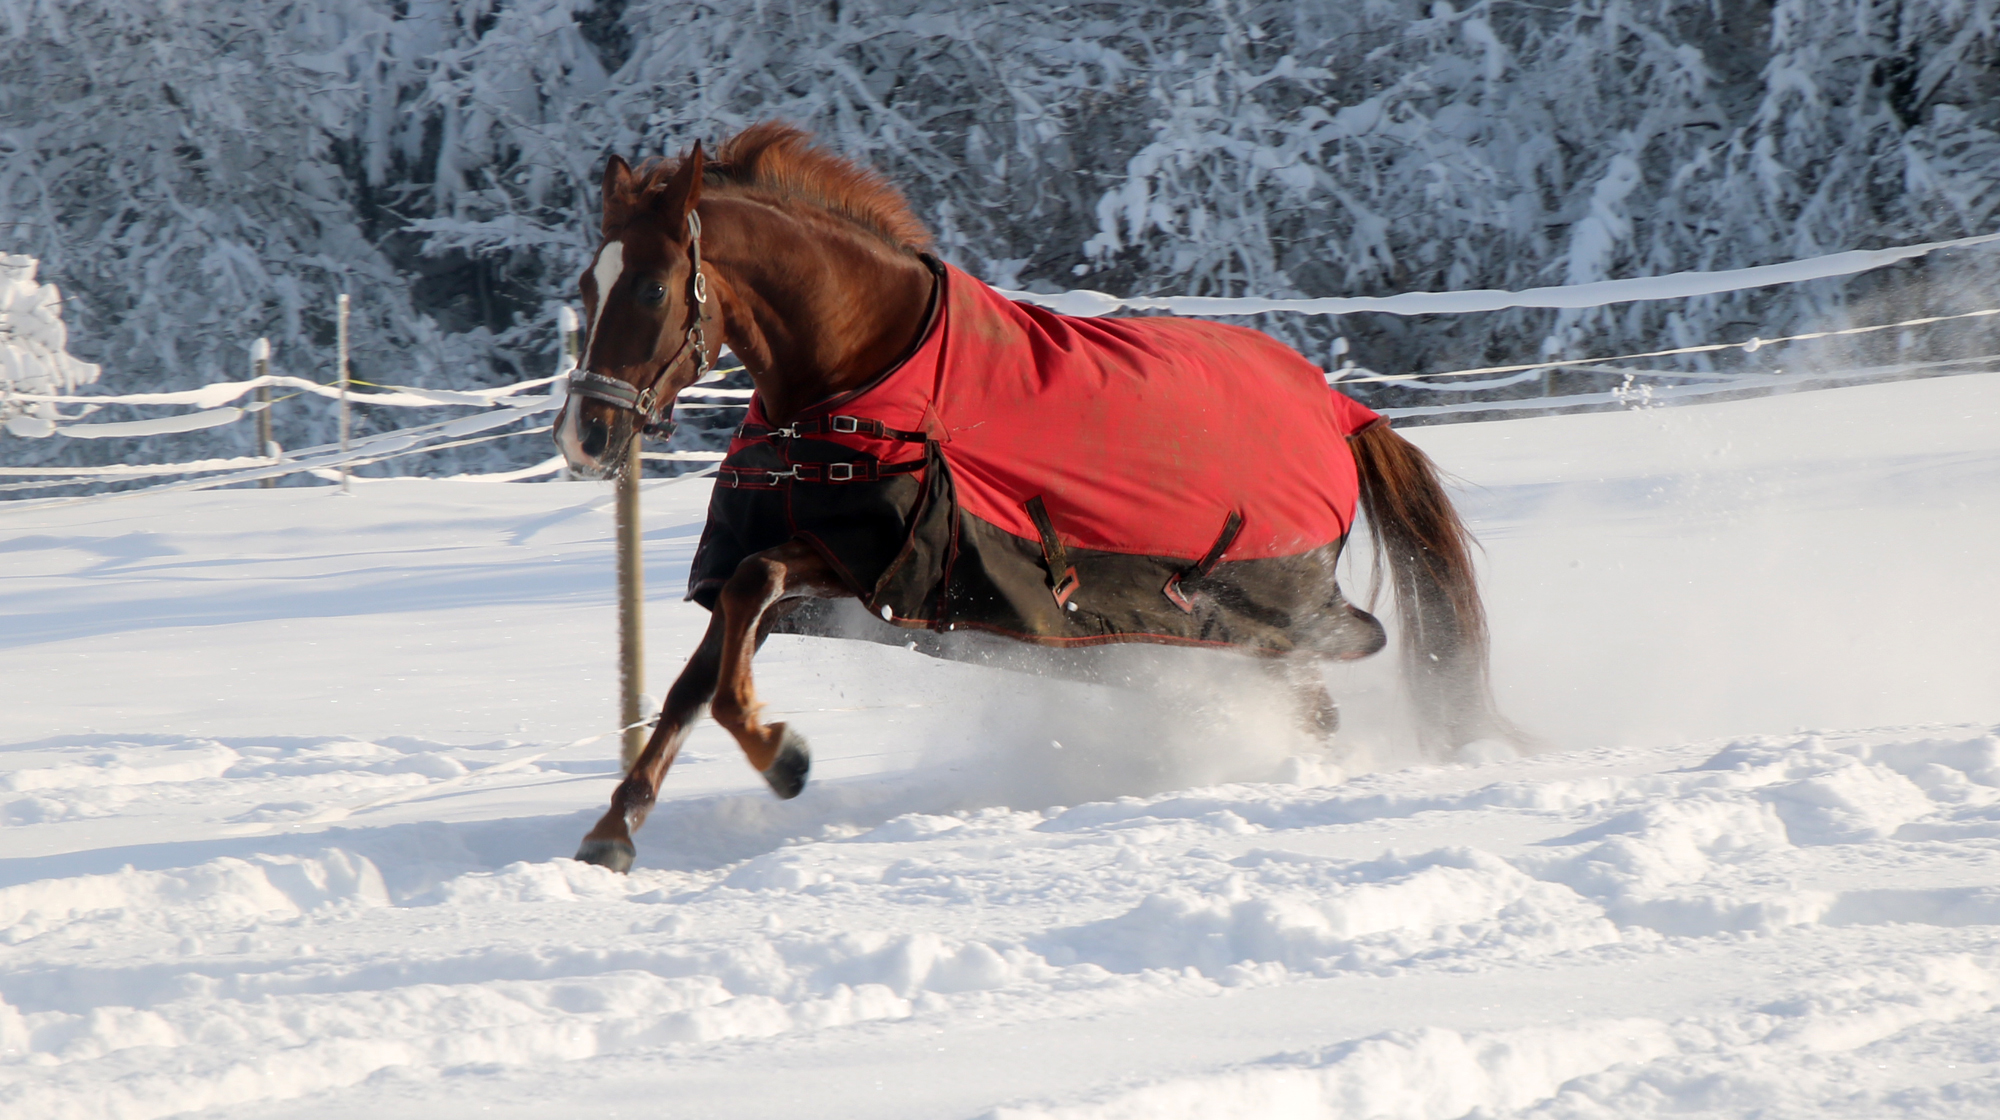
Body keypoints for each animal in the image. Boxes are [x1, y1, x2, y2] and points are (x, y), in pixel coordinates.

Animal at [553, 123, 1506, 873]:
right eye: (586, 287)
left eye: (652, 287)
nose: (584, 436)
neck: (857, 379)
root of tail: (1344, 413)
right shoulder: (805, 571)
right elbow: (694, 677)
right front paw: (614, 831)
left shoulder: (862, 564)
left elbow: (743, 609)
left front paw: (784, 756)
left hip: (1266, 625)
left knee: (1317, 709)